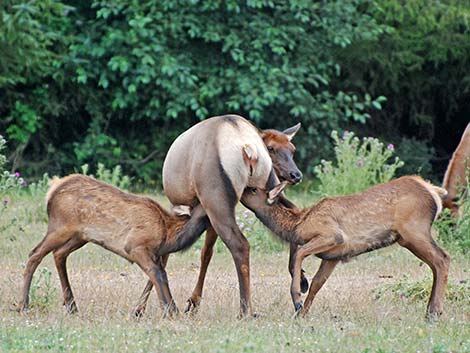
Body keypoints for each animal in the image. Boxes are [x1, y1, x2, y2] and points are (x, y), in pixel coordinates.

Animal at [18, 175, 209, 314]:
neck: (168, 235)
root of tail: (52, 191)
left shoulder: (155, 254)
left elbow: (163, 275)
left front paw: (173, 310)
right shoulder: (136, 247)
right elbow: (156, 274)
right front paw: (168, 311)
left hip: (79, 236)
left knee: (59, 254)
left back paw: (71, 306)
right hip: (60, 227)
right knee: (35, 253)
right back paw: (23, 305)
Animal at [132, 114, 302, 318]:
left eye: (292, 150)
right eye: (272, 148)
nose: (296, 175)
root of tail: (248, 147)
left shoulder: (179, 206)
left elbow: (165, 252)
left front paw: (141, 308)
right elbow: (206, 253)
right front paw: (193, 301)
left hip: (216, 197)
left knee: (240, 245)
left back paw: (245, 310)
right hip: (261, 186)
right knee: (294, 213)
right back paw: (298, 292)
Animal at [241, 176, 450, 320]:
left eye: (253, 189)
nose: (240, 187)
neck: (298, 226)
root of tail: (434, 192)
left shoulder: (332, 234)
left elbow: (299, 254)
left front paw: (297, 300)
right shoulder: (332, 257)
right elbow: (317, 283)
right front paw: (302, 314)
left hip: (413, 231)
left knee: (443, 258)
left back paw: (435, 312)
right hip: (411, 236)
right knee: (436, 263)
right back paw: (430, 310)